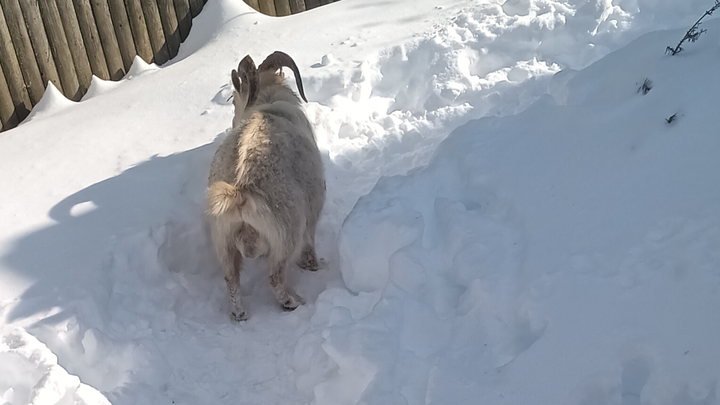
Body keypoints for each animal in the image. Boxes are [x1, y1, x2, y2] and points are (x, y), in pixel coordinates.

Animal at [206, 51, 325, 321]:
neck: (268, 104)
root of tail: (239, 192)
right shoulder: (312, 211)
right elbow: (309, 244)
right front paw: (312, 265)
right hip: (285, 237)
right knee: (275, 278)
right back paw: (294, 302)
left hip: (223, 241)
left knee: (231, 279)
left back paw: (240, 314)